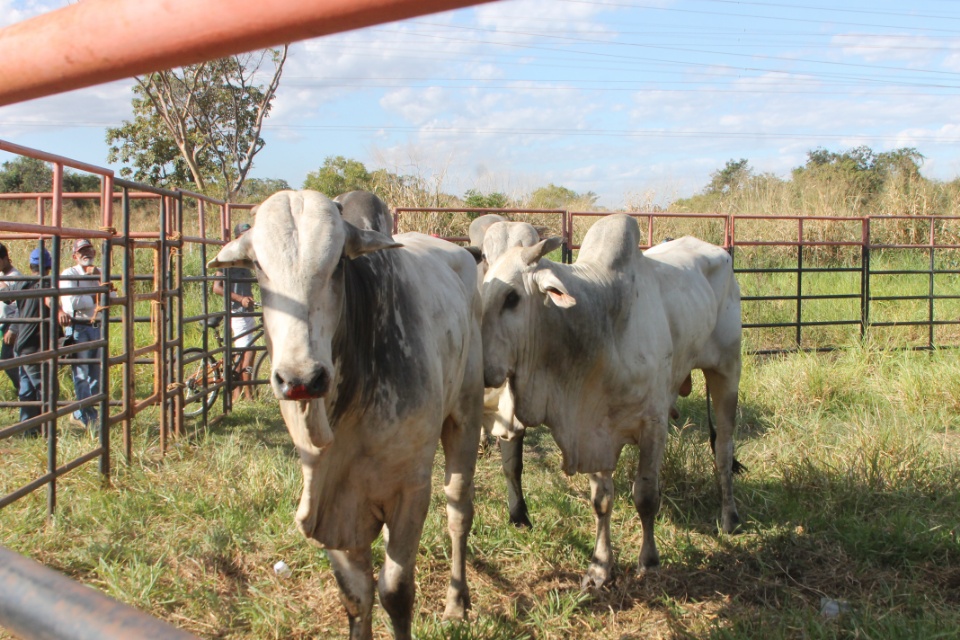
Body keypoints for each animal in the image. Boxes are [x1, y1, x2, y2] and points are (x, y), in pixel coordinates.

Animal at [207, 190, 484, 640]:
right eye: (258, 266)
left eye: (338, 262)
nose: (301, 378)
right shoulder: (331, 504)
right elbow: (356, 595)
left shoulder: (411, 490)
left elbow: (395, 591)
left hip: (466, 411)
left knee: (458, 511)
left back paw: (457, 602)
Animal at [480, 212, 744, 588]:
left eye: (512, 298)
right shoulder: (594, 425)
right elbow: (601, 501)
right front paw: (600, 567)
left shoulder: (653, 425)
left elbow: (646, 497)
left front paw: (649, 561)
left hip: (727, 370)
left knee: (723, 449)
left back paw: (729, 517)